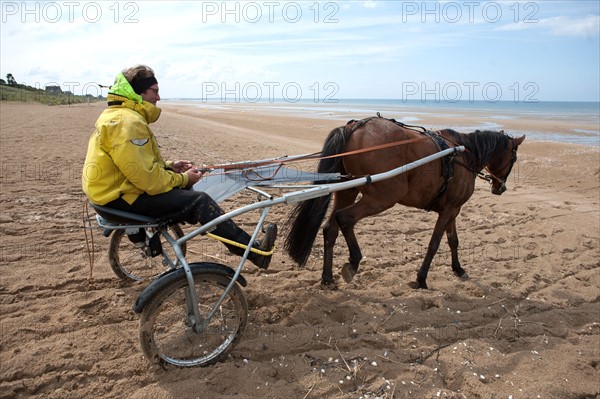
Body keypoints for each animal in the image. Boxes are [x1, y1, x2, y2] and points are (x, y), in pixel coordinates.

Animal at [284, 114, 524, 290]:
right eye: (514, 157)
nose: (500, 188)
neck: (462, 155)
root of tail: (355, 127)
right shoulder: (449, 211)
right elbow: (434, 244)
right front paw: (421, 278)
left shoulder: (452, 209)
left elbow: (453, 241)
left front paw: (458, 269)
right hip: (383, 198)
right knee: (344, 218)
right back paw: (353, 261)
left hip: (347, 192)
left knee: (330, 228)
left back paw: (327, 277)